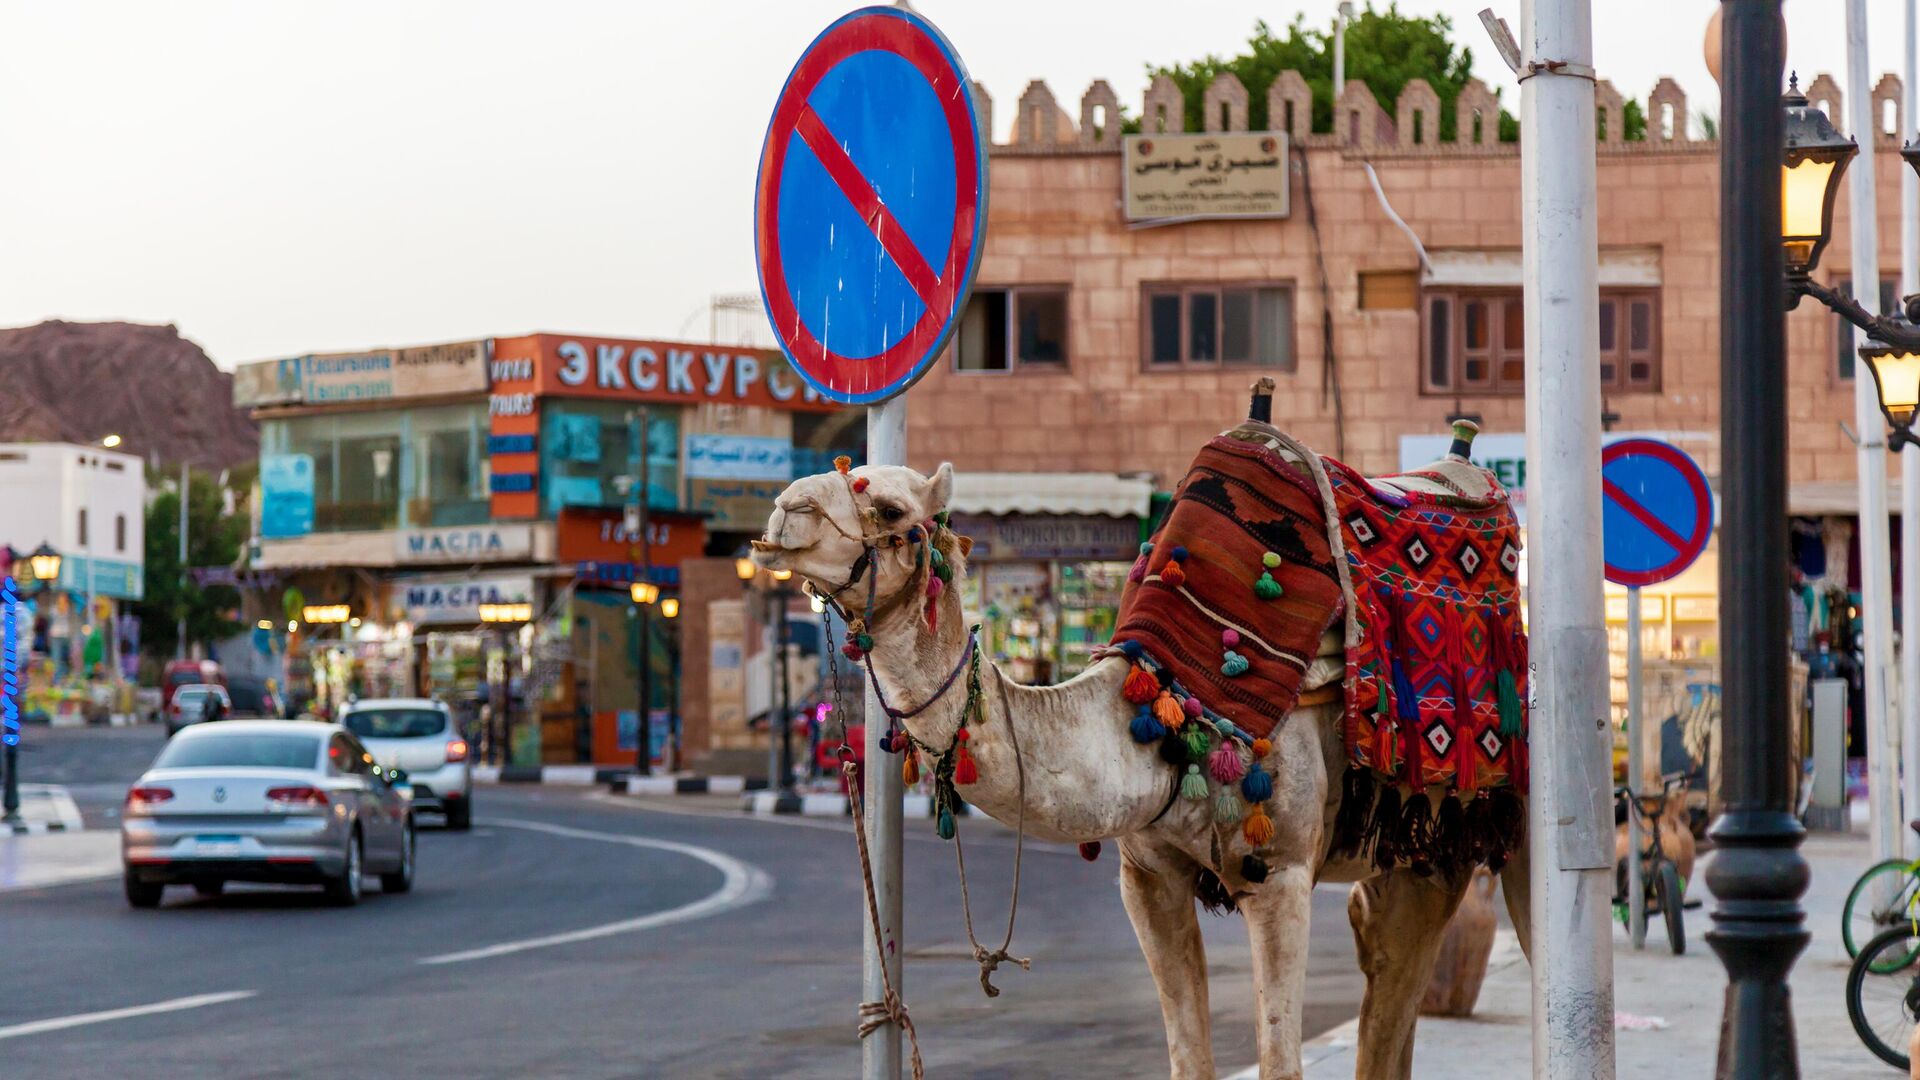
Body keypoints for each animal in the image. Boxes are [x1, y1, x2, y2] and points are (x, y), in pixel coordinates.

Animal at [748, 441, 1528, 1068]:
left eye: (885, 504)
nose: (784, 513)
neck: (1160, 717)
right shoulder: (1147, 876)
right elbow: (1188, 1057)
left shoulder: (1280, 873)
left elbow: (1280, 1060)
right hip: (1422, 850)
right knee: (1394, 968)